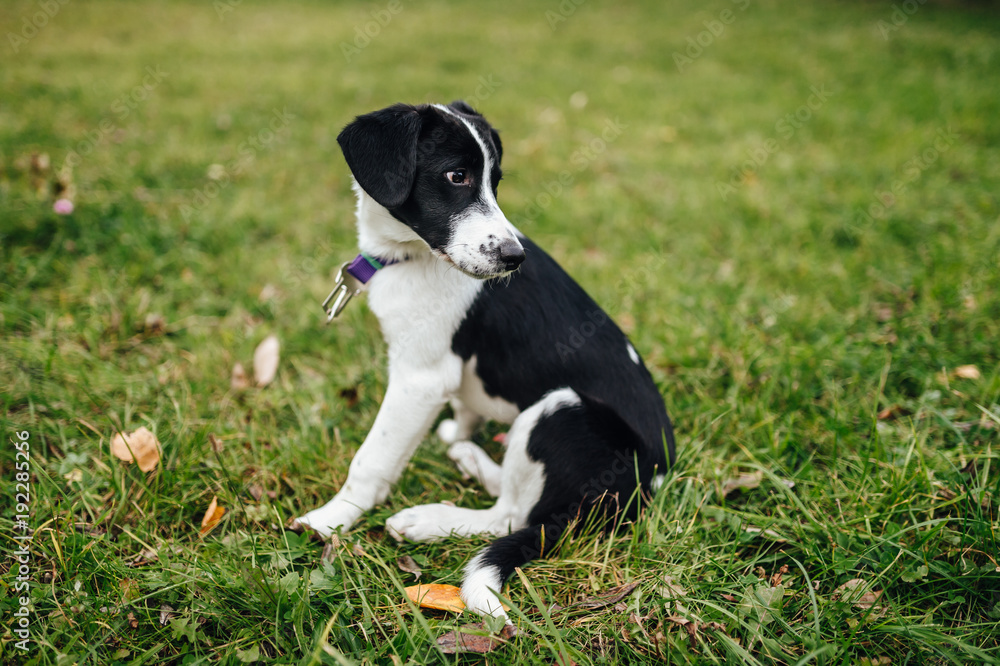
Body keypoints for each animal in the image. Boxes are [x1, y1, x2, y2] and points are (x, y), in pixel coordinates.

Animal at [292, 100, 676, 616]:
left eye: (495, 182)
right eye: (457, 176)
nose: (514, 258)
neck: (414, 256)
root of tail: (649, 489)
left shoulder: (420, 378)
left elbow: (371, 459)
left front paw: (330, 519)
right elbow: (464, 408)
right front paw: (461, 432)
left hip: (561, 411)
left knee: (511, 516)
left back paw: (428, 520)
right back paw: (468, 457)